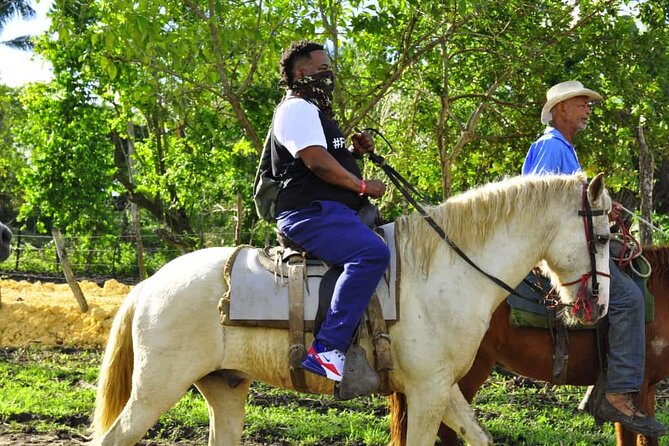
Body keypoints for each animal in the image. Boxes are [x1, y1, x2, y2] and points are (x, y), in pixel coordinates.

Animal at [92, 172, 612, 444]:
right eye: (605, 236)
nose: (599, 305)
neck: (446, 269)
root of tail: (148, 286)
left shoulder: (442, 388)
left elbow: (477, 436)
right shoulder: (427, 392)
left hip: (225, 388)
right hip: (156, 389)